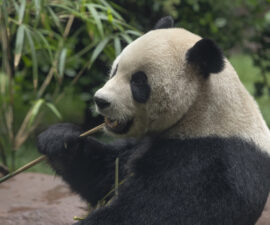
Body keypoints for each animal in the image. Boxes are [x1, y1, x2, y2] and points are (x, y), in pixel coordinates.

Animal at [37, 16, 270, 225]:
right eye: (115, 69)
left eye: (138, 81)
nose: (100, 100)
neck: (199, 110)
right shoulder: (142, 144)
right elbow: (105, 174)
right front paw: (60, 138)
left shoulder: (207, 160)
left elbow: (151, 211)